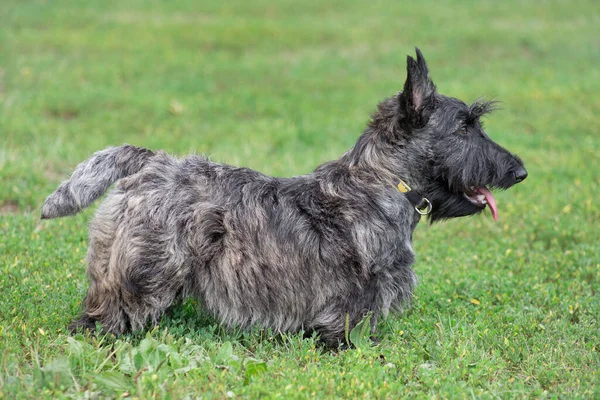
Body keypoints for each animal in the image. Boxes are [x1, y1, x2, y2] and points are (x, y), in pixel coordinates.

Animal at [41, 47, 524, 346]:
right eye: (464, 127)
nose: (519, 171)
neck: (382, 182)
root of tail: (150, 162)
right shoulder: (353, 300)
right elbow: (346, 330)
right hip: (144, 270)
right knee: (102, 314)